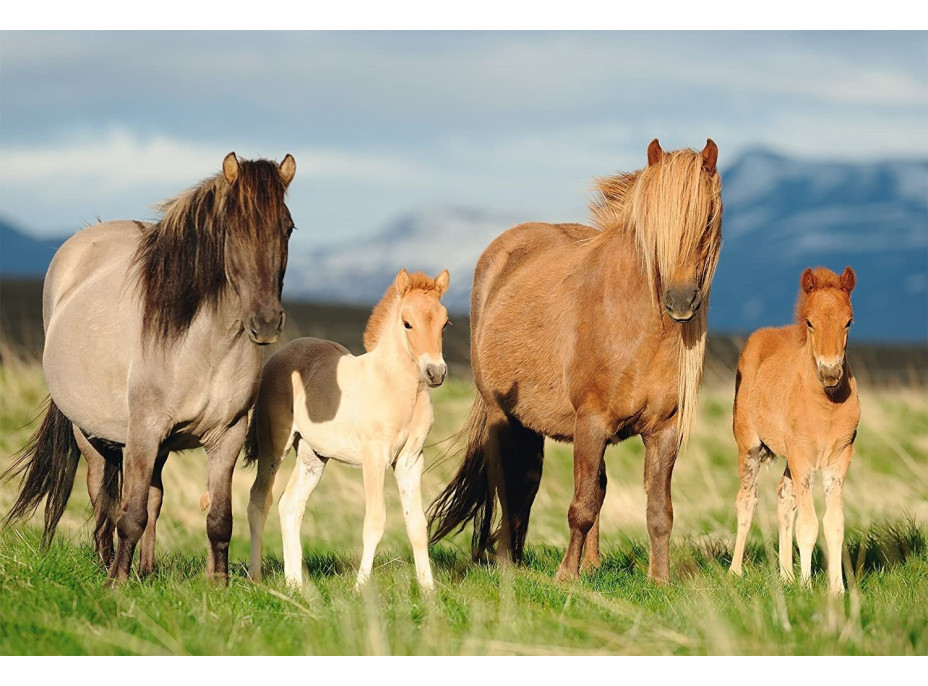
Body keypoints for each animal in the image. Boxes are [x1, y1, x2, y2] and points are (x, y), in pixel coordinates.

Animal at [0, 152, 298, 584]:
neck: (204, 347)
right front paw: (116, 585)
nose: (266, 322)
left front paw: (219, 585)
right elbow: (130, 514)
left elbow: (218, 519)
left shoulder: (227, 435)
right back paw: (108, 564)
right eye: (231, 229)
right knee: (103, 495)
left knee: (153, 498)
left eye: (287, 228)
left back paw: (146, 569)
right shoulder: (143, 432)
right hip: (90, 435)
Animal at [246, 268, 450, 592]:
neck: (398, 388)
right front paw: (361, 587)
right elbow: (375, 521)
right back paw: (255, 576)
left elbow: (417, 523)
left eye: (445, 323)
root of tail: (282, 353)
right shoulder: (374, 458)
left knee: (290, 505)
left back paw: (295, 583)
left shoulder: (410, 460)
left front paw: (428, 589)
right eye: (407, 323)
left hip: (312, 455)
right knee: (258, 500)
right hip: (274, 445)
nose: (436, 373)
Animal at [428, 141, 724, 584]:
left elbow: (658, 511)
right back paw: (508, 562)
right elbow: (581, 506)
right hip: (504, 416)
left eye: (706, 220)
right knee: (510, 485)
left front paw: (659, 580)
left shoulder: (664, 431)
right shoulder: (591, 423)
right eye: (654, 225)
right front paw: (566, 577)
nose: (681, 301)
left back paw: (586, 563)